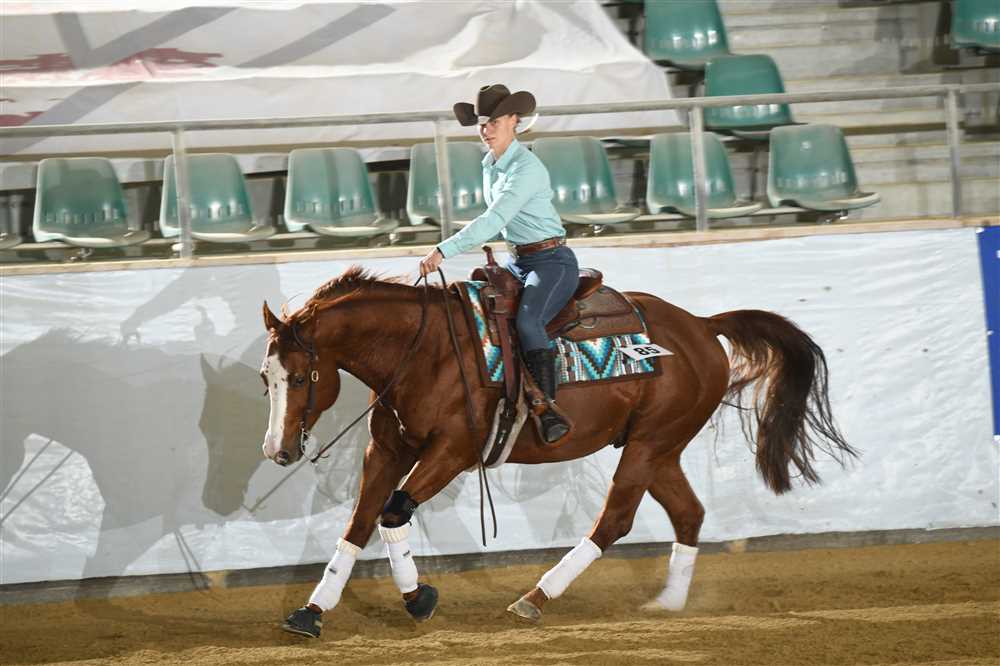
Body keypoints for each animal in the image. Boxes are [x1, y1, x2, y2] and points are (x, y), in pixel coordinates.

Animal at [259, 265, 855, 633]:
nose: (277, 451)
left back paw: (535, 598)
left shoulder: (452, 452)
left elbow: (392, 512)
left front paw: (419, 598)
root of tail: (702, 327)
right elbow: (359, 523)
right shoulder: (387, 449)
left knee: (614, 521)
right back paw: (668, 603)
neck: (424, 351)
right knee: (689, 514)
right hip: (659, 449)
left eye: (301, 376)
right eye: (267, 378)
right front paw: (313, 612)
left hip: (649, 446)